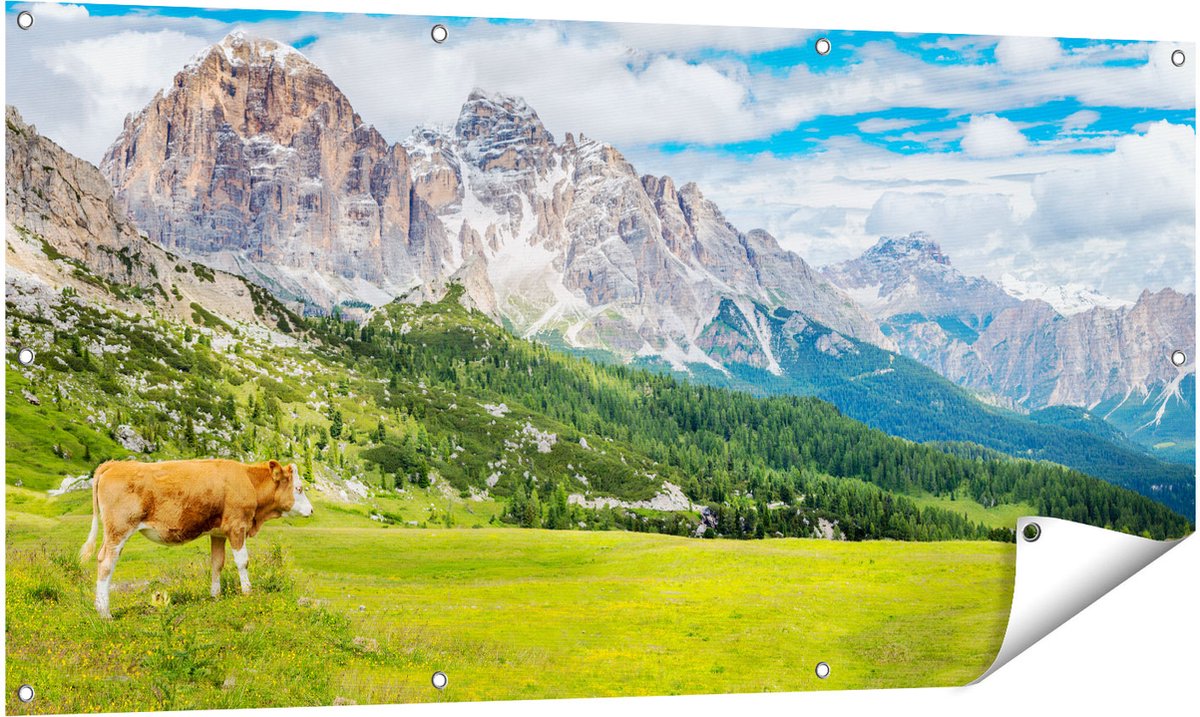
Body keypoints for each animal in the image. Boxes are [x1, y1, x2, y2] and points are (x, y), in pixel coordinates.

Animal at [78, 458, 314, 618]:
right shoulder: (237, 526)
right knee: (106, 563)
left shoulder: (218, 532)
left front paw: (215, 595)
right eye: (299, 488)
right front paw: (248, 592)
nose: (311, 510)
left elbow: (217, 563)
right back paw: (105, 612)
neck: (248, 481)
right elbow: (242, 562)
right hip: (119, 529)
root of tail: (113, 465)